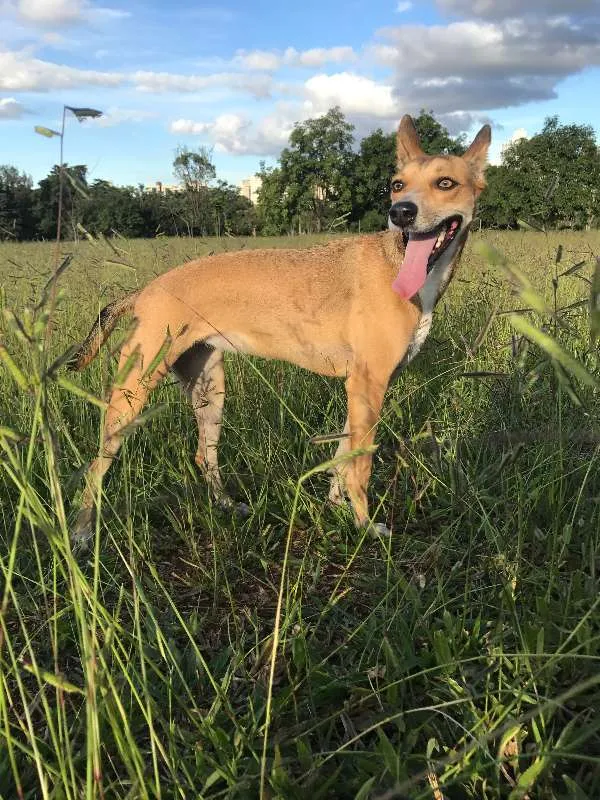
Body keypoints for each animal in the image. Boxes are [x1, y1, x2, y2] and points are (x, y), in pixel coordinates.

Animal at [70, 114, 490, 544]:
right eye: (397, 185)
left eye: (445, 183)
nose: (401, 212)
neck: (404, 264)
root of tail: (144, 291)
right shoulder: (368, 385)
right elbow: (360, 465)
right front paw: (365, 526)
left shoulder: (358, 388)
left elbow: (342, 458)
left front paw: (337, 508)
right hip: (133, 391)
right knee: (97, 463)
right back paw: (83, 532)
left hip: (210, 389)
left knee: (204, 455)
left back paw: (227, 505)